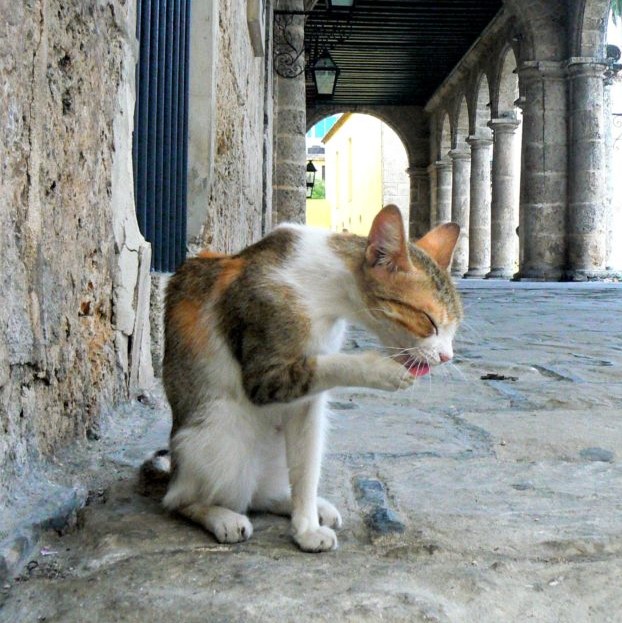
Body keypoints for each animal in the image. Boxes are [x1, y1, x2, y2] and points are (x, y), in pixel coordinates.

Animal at [161, 207, 464, 552]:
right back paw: (220, 516)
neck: (324, 291)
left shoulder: (306, 402)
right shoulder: (265, 375)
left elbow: (306, 467)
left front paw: (305, 527)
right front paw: (381, 370)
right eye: (429, 321)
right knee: (180, 500)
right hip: (219, 434)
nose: (447, 357)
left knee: (261, 493)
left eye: (455, 327)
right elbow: (327, 364)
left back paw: (298, 505)